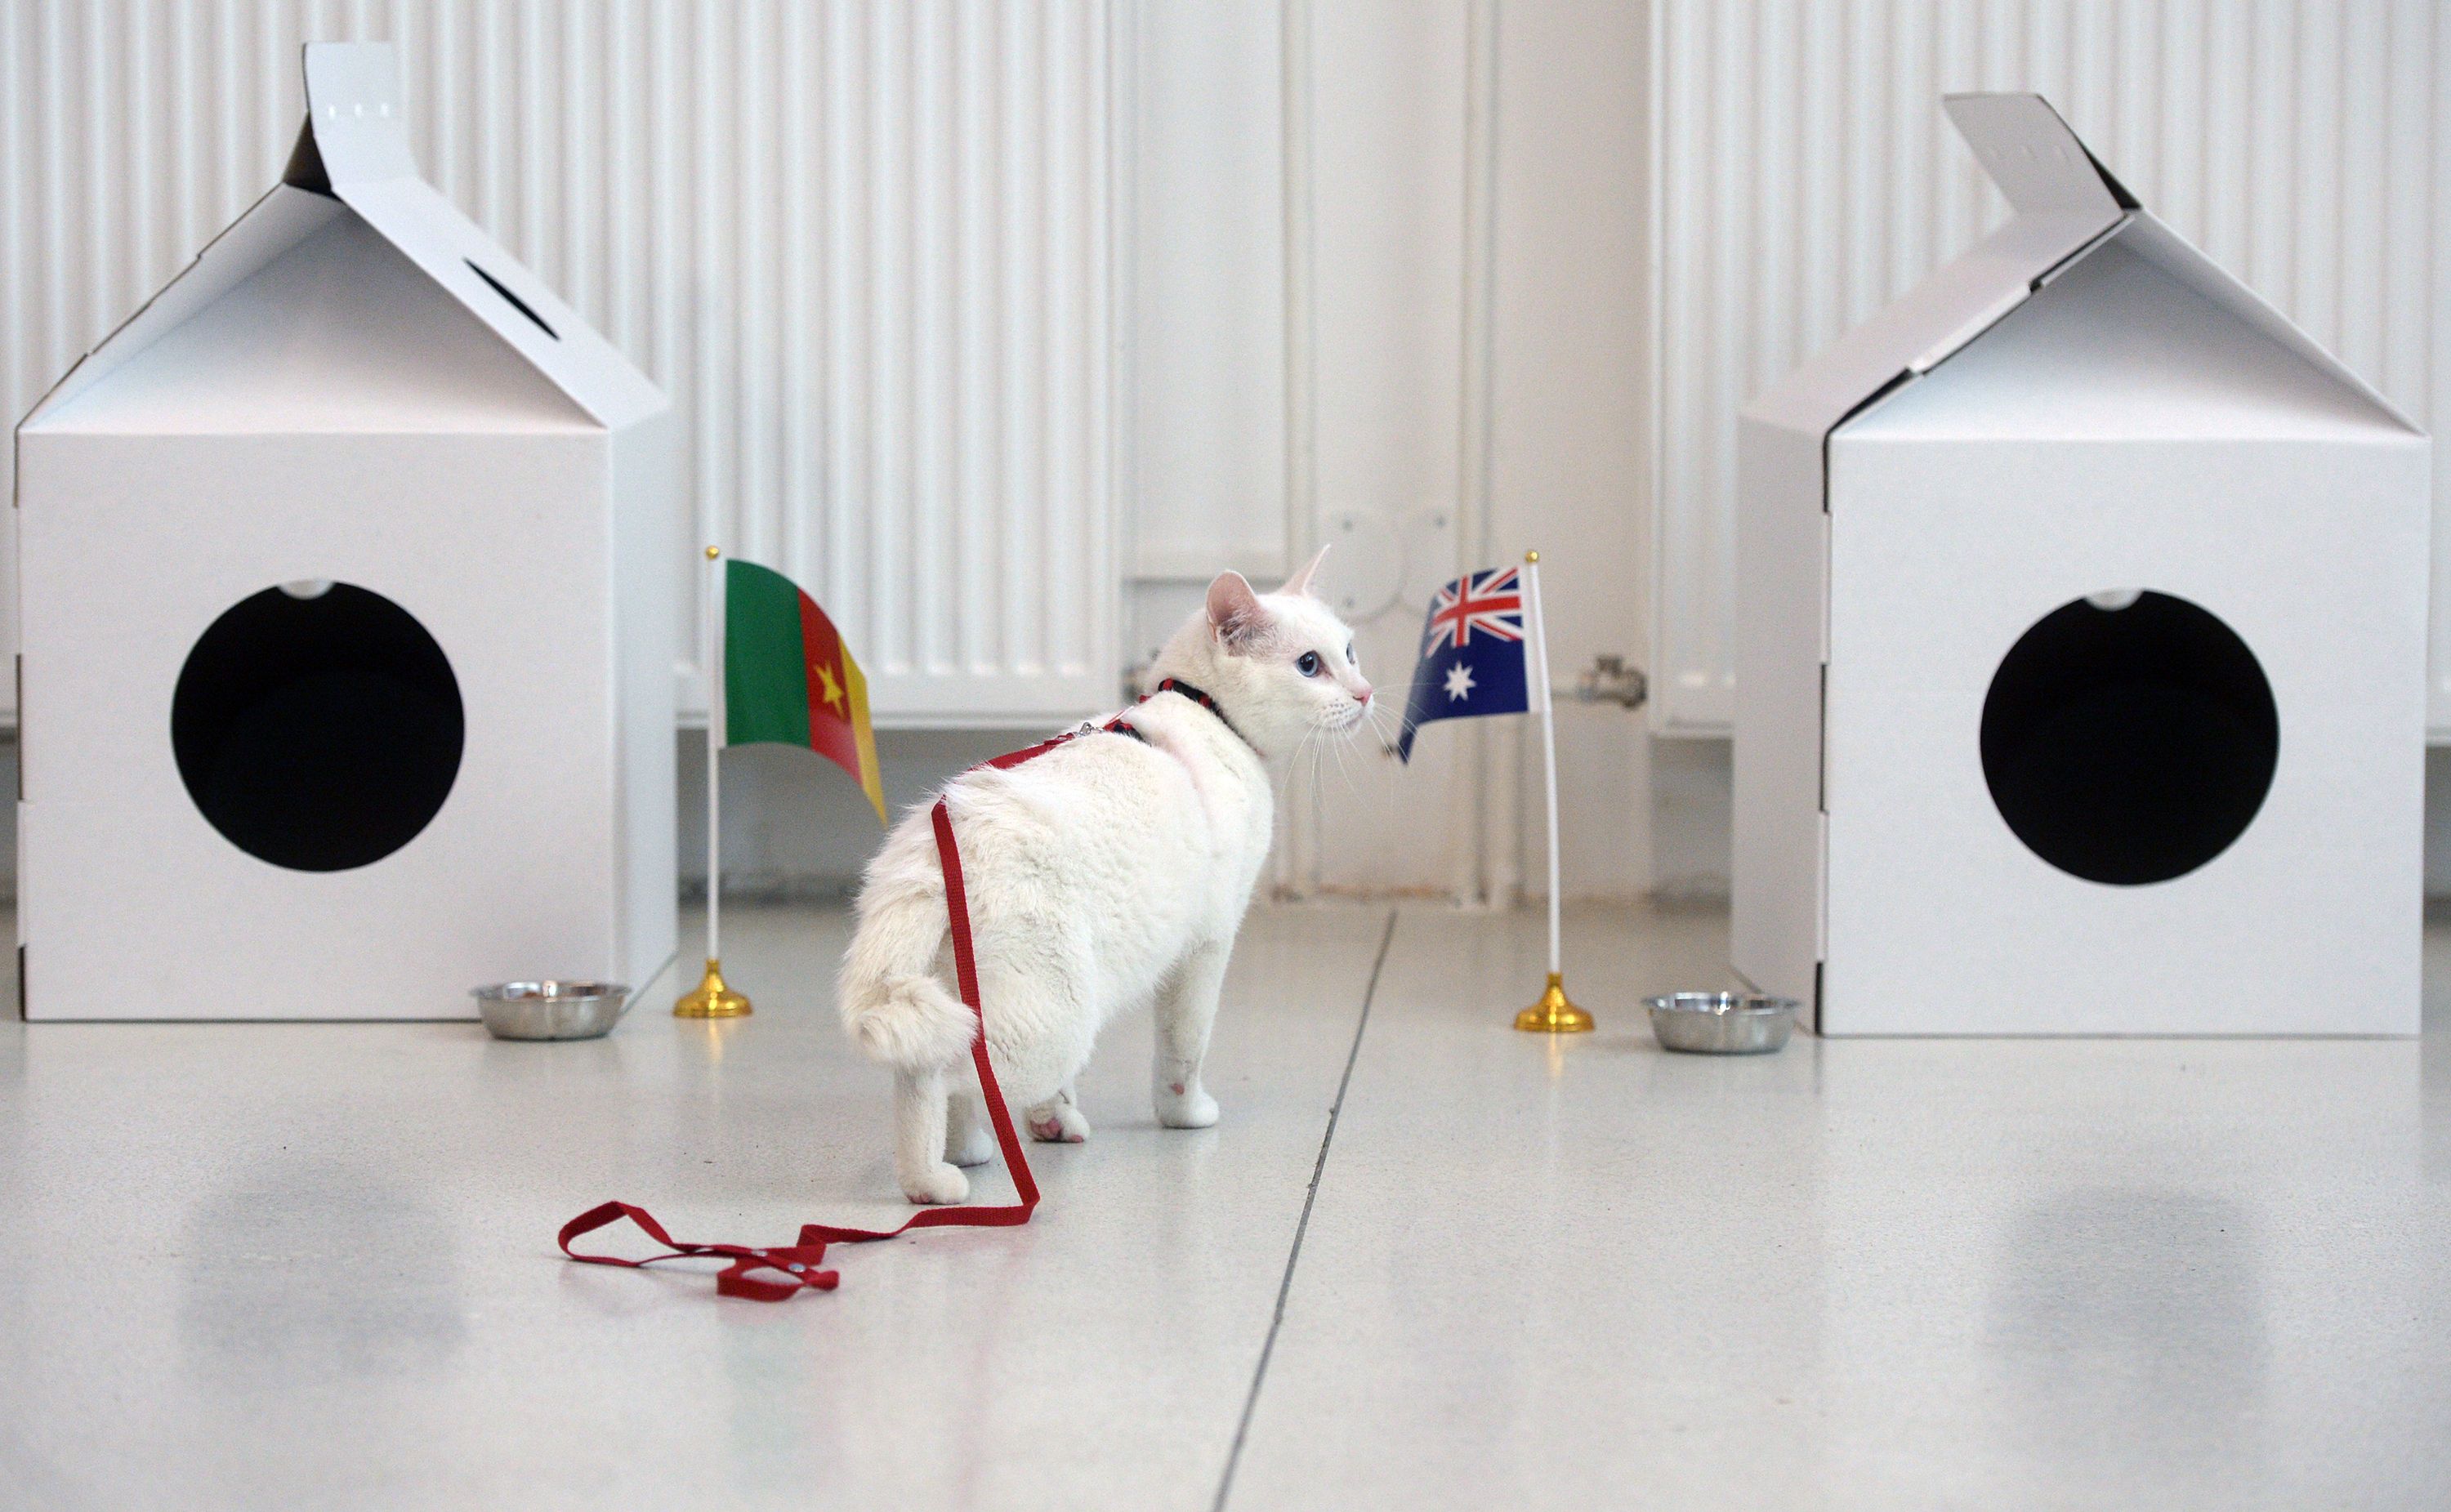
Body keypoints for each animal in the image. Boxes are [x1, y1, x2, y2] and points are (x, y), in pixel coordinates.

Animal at [843, 554, 1373, 1201]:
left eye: (1349, 651)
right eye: (1309, 665)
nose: (1365, 692)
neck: (1207, 714)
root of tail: (929, 844)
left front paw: (1052, 1118)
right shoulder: (1206, 946)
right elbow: (1184, 1049)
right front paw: (1184, 1114)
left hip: (978, 994)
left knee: (954, 1070)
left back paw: (966, 1150)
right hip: (1053, 1016)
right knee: (933, 1074)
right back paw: (932, 1178)